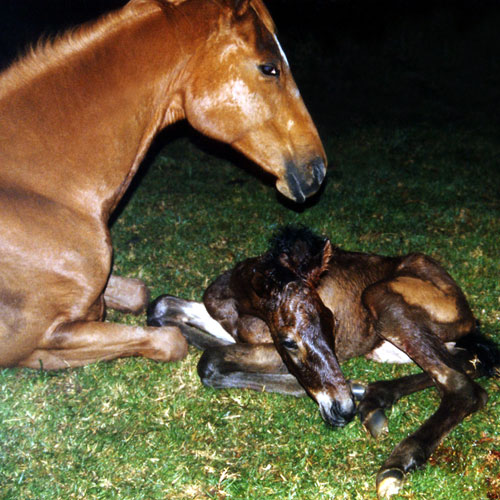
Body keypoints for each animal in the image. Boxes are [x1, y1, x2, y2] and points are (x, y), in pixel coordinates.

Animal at [0, 0, 324, 368]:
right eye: (269, 68)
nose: (318, 170)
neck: (43, 193)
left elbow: (138, 292)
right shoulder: (39, 336)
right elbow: (170, 340)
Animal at [146, 228, 498, 500]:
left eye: (332, 324)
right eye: (290, 341)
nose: (344, 409)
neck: (236, 306)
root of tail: (468, 315)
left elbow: (210, 360)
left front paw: (341, 389)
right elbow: (161, 307)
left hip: (381, 298)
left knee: (463, 385)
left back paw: (396, 461)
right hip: (393, 346)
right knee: (470, 361)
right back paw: (375, 401)